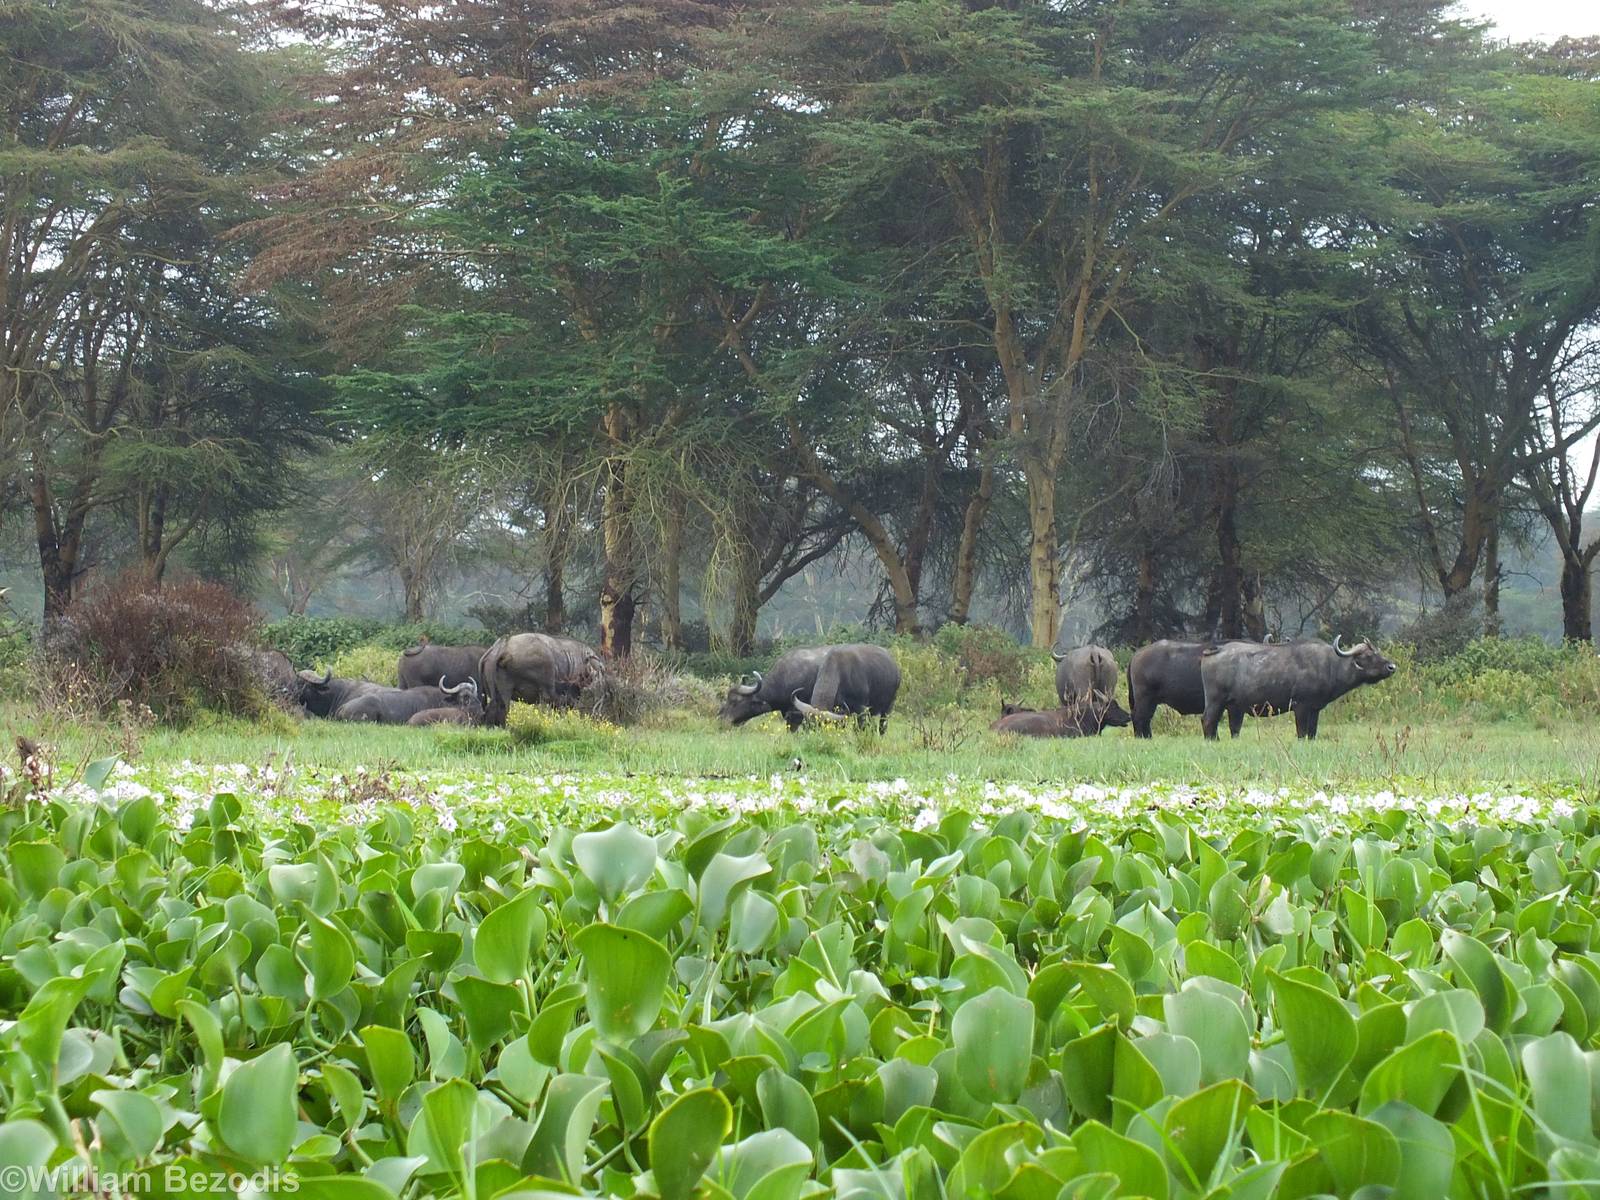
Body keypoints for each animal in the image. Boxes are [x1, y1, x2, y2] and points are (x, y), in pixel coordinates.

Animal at [1199, 635, 1396, 740]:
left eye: (1377, 652)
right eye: (1368, 655)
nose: (1392, 667)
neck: (1330, 665)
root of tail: (1215, 650)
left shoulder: (1315, 709)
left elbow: (1312, 733)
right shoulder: (1300, 706)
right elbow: (1302, 732)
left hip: (1232, 706)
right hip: (1215, 701)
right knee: (1207, 720)